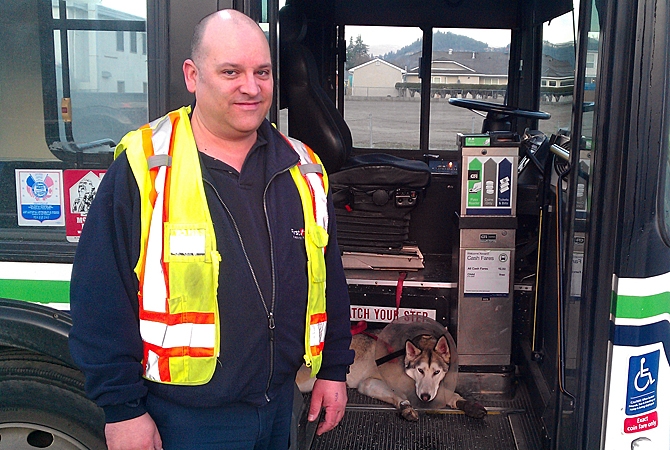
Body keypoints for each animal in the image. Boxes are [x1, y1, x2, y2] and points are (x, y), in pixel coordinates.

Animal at [296, 314, 486, 420]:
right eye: (420, 370)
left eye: (437, 372)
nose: (425, 397)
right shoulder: (369, 383)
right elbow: (399, 395)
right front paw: (405, 407)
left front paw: (466, 403)